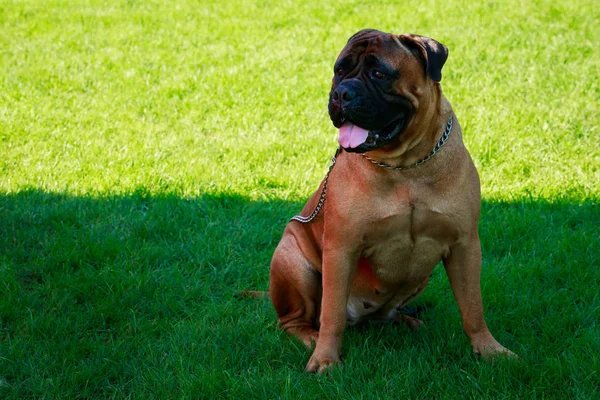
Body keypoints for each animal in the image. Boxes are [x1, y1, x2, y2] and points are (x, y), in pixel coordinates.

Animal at [270, 29, 512, 374]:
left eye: (379, 74)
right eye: (339, 70)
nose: (341, 93)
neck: (406, 166)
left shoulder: (465, 244)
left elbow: (472, 306)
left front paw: (489, 349)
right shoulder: (342, 248)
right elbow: (332, 313)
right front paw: (326, 359)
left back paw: (408, 322)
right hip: (292, 258)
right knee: (295, 321)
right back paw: (310, 338)